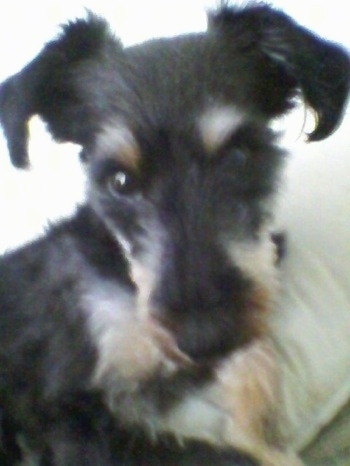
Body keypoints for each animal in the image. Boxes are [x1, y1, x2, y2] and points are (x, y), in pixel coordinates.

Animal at [0, 3, 348, 466]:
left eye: (239, 155)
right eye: (120, 181)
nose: (206, 337)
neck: (123, 279)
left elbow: (257, 359)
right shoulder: (66, 408)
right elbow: (204, 453)